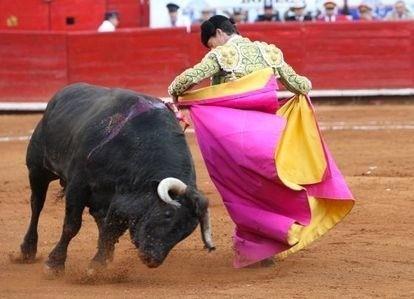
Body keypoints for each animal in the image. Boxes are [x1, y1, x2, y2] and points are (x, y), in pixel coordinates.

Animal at [17, 83, 215, 274]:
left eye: (186, 232)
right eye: (167, 214)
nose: (153, 260)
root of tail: (62, 93)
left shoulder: (123, 200)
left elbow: (111, 230)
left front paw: (98, 265)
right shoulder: (78, 185)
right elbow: (72, 225)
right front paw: (54, 264)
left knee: (99, 220)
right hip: (38, 169)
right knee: (36, 204)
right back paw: (27, 251)